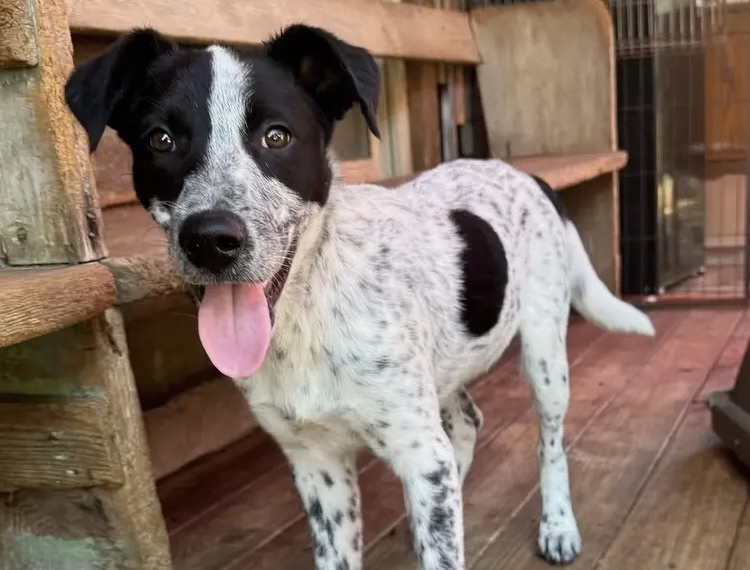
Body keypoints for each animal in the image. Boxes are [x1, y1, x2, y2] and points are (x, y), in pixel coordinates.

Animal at [63, 26, 652, 568]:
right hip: (442, 373)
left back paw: (557, 523)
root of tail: (523, 172)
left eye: (277, 137)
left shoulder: (418, 449)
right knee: (465, 424)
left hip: (544, 353)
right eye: (160, 140)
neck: (306, 313)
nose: (209, 240)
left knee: (549, 442)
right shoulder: (318, 464)